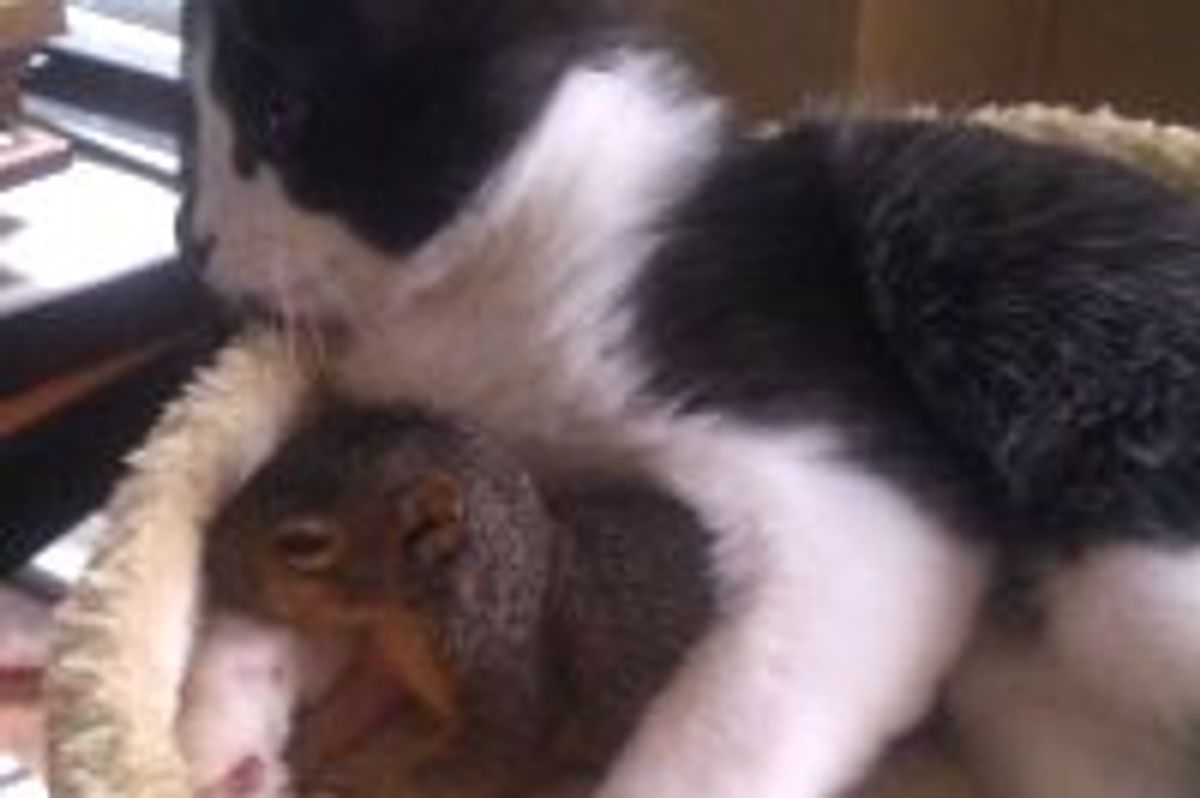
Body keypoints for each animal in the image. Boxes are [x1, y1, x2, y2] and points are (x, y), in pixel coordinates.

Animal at [202, 400, 715, 798]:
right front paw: (303, 749)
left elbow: (453, 772)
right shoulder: (391, 665)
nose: (208, 557)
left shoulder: (513, 706)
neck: (404, 616)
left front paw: (351, 781)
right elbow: (353, 705)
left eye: (304, 543)